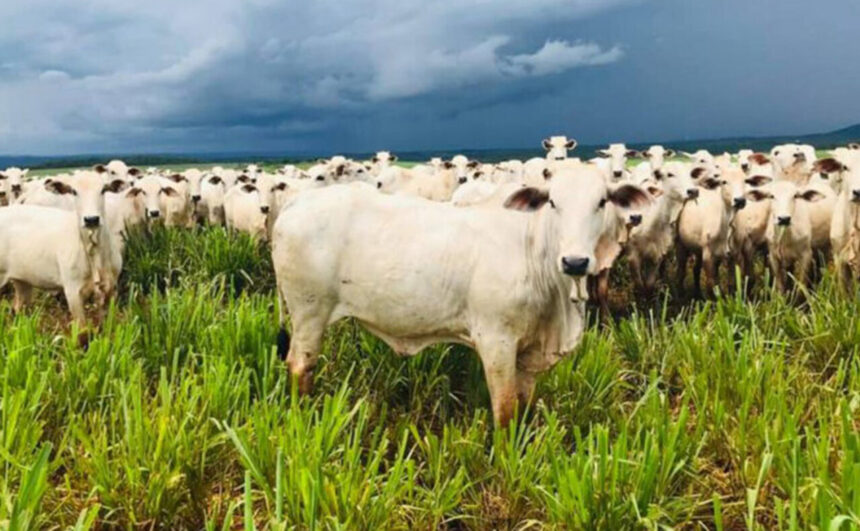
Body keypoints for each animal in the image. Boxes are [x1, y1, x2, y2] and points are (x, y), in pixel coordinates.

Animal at [0, 172, 124, 326]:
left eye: (103, 189)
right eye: (74, 191)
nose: (91, 219)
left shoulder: (111, 288)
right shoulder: (73, 292)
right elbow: (82, 330)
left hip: (22, 281)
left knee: (18, 308)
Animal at [272, 170, 648, 428]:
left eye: (602, 201)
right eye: (553, 202)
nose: (575, 261)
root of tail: (297, 202)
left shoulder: (529, 352)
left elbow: (524, 407)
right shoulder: (496, 341)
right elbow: (505, 411)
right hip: (309, 313)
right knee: (300, 366)